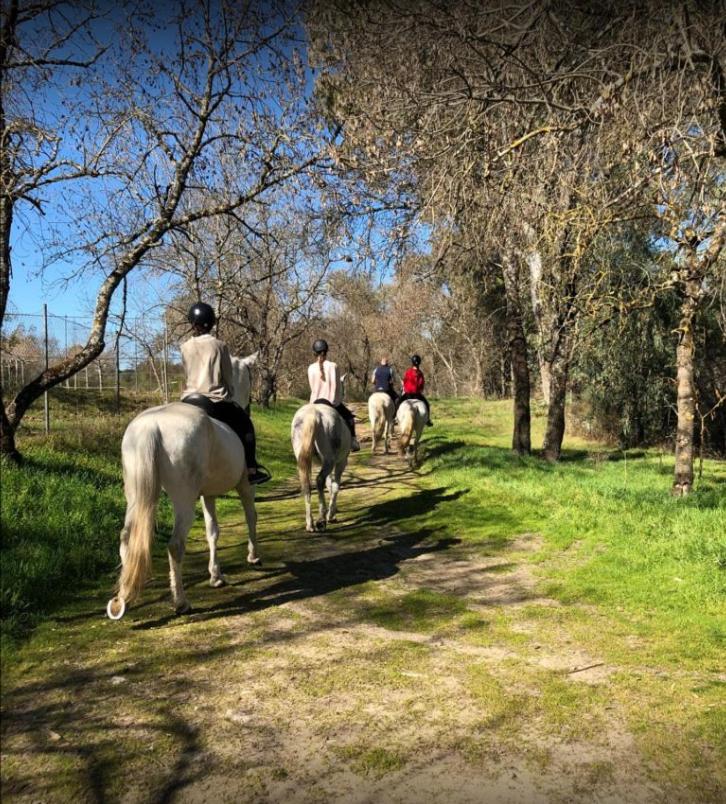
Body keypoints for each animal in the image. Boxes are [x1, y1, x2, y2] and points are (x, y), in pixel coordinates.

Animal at [107, 350, 262, 616]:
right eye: (250, 375)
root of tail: (151, 425)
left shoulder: (208, 494)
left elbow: (213, 531)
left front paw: (216, 575)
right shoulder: (245, 486)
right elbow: (250, 516)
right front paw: (252, 556)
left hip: (136, 495)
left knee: (126, 537)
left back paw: (125, 596)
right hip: (183, 500)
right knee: (175, 545)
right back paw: (181, 602)